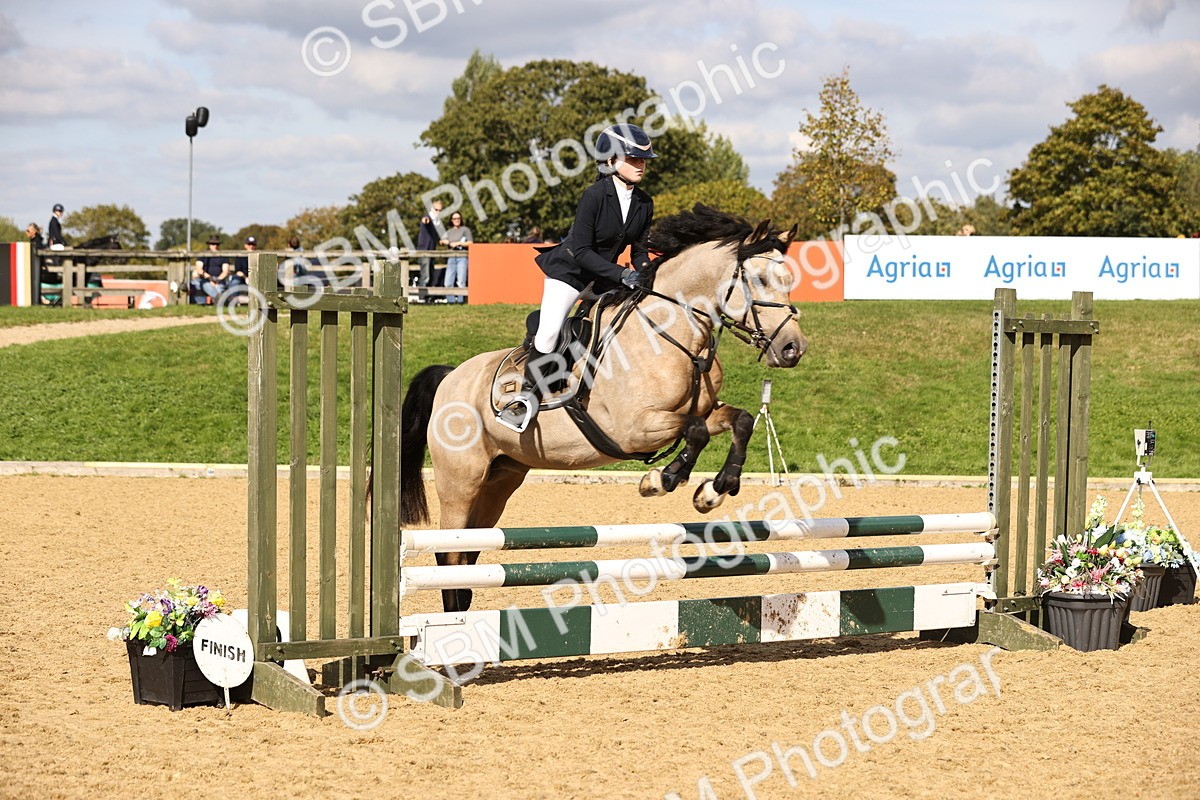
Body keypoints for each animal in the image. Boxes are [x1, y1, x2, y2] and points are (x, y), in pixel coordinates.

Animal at [399, 205, 808, 612]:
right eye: (759, 279)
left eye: (789, 280)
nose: (793, 349)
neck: (673, 335)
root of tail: (450, 377)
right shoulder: (635, 429)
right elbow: (695, 432)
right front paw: (661, 480)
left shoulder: (702, 411)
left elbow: (739, 422)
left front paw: (715, 489)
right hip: (460, 481)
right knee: (449, 554)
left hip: (500, 480)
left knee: (468, 554)